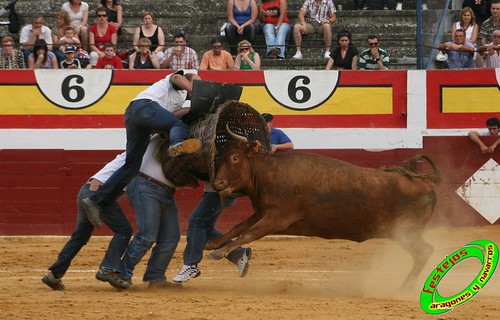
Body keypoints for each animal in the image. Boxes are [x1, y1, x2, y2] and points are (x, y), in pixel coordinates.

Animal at [209, 125, 440, 290]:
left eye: (235, 158)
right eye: (219, 157)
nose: (218, 183)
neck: (266, 173)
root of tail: (424, 182)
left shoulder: (275, 218)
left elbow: (247, 234)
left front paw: (219, 252)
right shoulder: (261, 213)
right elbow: (237, 228)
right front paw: (213, 244)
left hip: (405, 232)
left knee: (425, 252)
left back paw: (404, 287)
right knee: (424, 253)